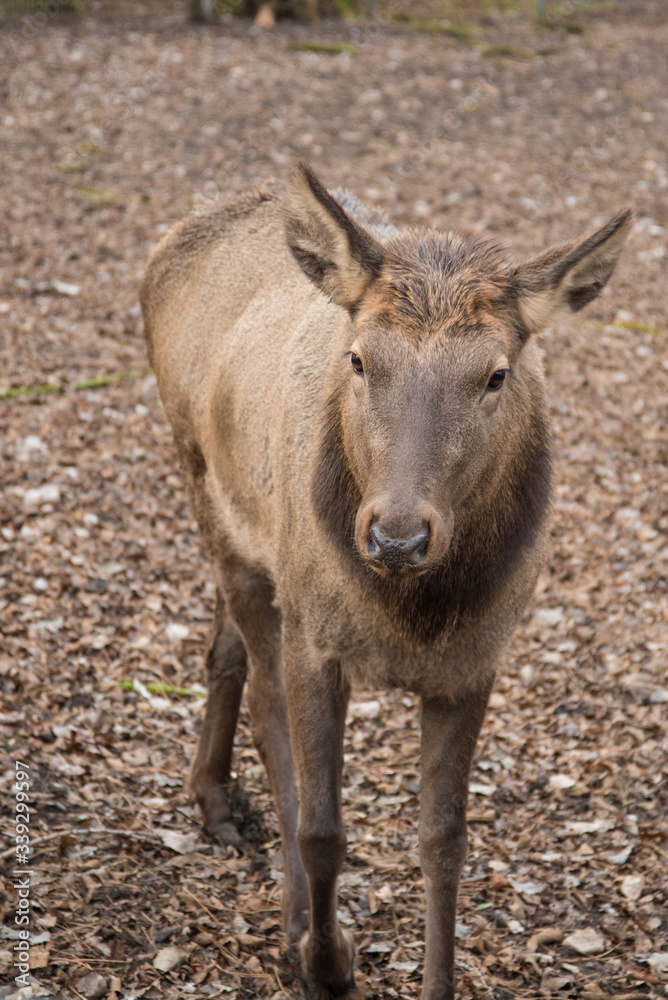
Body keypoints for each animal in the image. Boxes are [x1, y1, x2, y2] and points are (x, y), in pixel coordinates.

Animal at [140, 164, 631, 1000]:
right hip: (202, 485)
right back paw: (288, 913)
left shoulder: (476, 662)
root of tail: (169, 242)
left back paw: (213, 796)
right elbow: (322, 827)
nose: (396, 535)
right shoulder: (317, 641)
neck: (413, 615)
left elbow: (444, 841)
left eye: (496, 374)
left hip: (252, 532)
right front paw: (325, 961)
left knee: (225, 647)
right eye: (361, 359)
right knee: (267, 706)